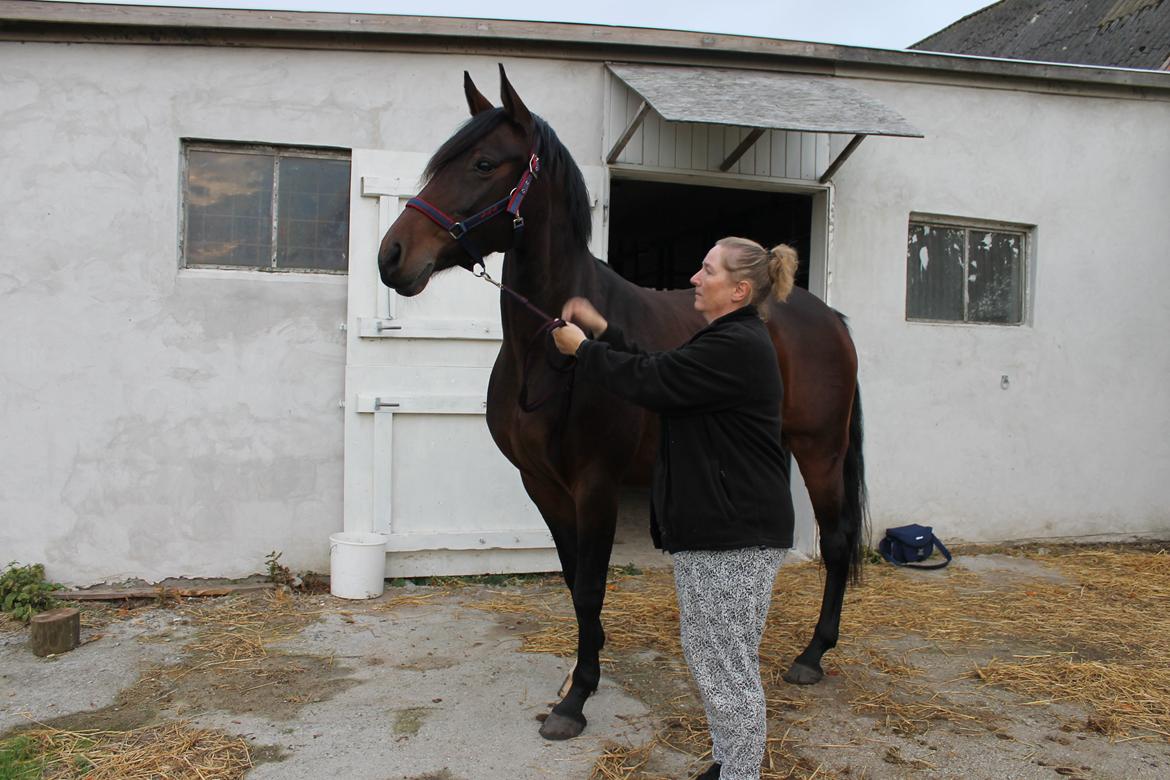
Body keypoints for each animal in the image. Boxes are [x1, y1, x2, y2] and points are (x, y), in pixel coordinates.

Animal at [379, 65, 865, 739]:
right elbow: (571, 579)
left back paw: (812, 655)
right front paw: (579, 669)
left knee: (837, 543)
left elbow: (590, 585)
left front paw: (576, 699)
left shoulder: (596, 484)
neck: (547, 351)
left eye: (482, 163)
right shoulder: (543, 485)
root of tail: (828, 317)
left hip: (820, 451)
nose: (391, 257)